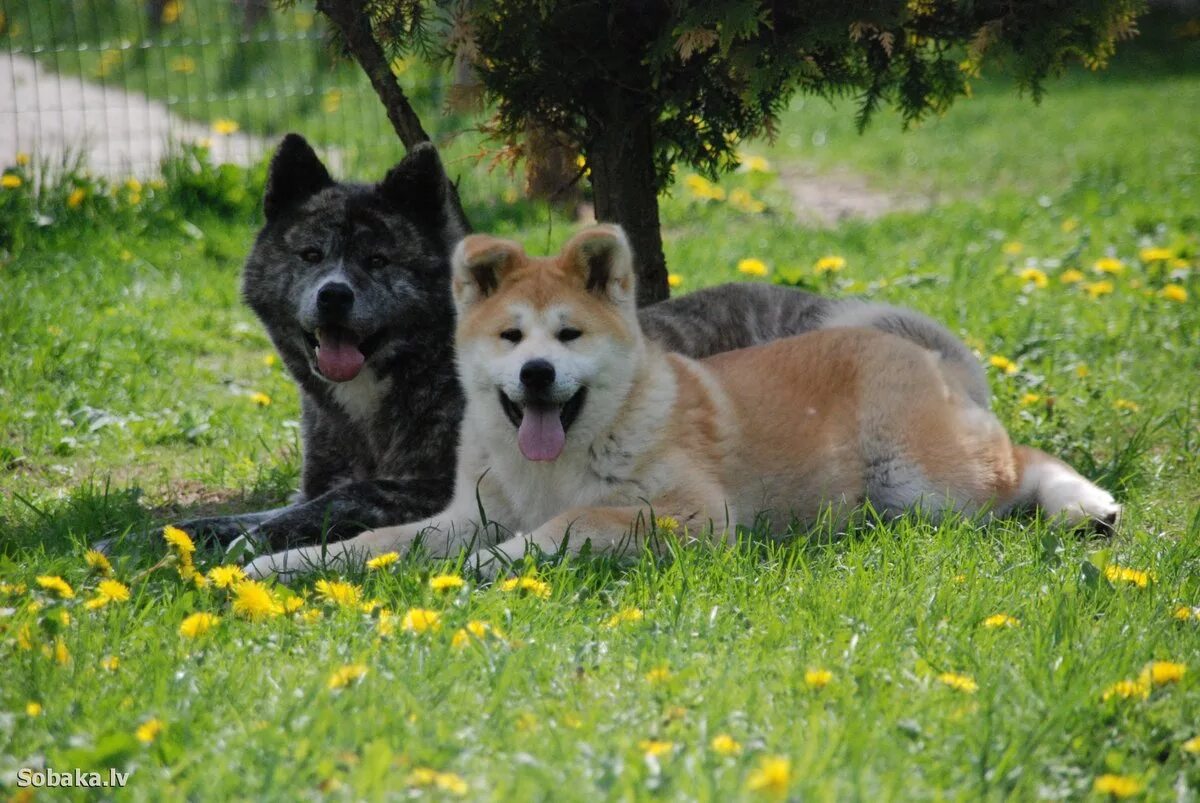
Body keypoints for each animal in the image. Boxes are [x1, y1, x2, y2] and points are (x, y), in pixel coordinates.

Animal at [157, 136, 984, 552]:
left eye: (378, 259)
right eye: (310, 254)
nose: (333, 294)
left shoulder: (415, 485)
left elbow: (327, 506)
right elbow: (277, 510)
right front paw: (198, 531)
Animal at [246, 222, 1123, 578]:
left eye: (568, 335)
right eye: (510, 336)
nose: (536, 375)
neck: (550, 465)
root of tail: (917, 346)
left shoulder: (695, 515)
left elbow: (574, 522)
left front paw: (499, 563)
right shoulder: (463, 512)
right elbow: (371, 539)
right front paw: (282, 561)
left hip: (929, 483)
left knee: (1020, 462)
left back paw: (1086, 503)